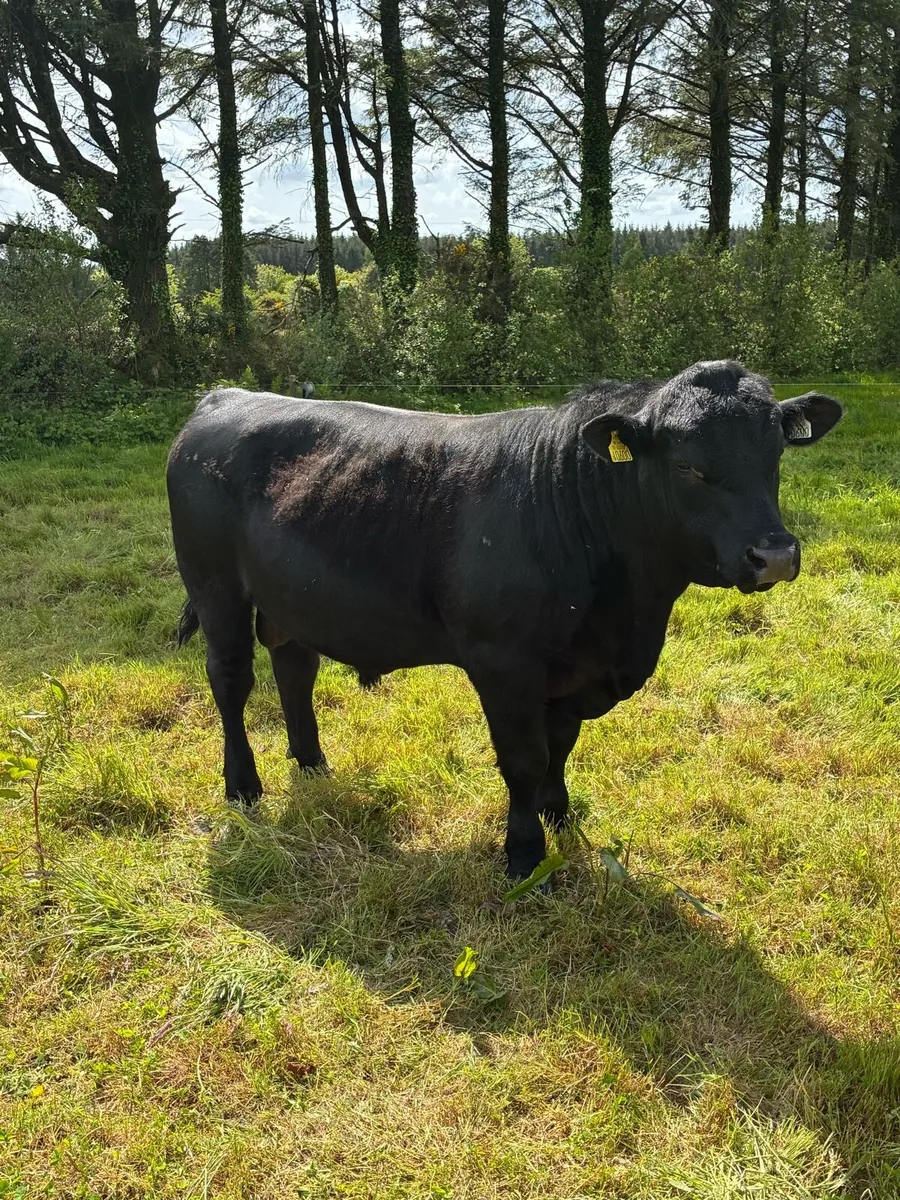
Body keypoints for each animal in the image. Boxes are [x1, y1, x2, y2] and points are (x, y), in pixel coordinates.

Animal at [167, 361, 842, 879]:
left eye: (776, 456)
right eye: (688, 466)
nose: (775, 554)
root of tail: (224, 397)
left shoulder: (576, 668)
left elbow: (559, 745)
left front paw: (558, 812)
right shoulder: (503, 661)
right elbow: (522, 757)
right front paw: (523, 854)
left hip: (291, 598)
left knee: (295, 667)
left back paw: (312, 763)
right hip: (216, 587)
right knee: (231, 681)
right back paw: (243, 788)